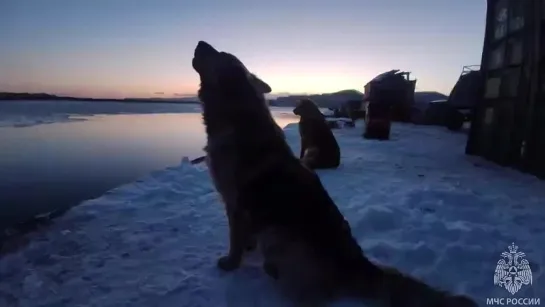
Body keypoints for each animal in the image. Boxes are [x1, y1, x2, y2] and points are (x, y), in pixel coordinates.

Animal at [191, 39, 476, 306]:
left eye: (218, 54)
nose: (200, 42)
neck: (237, 117)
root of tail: (356, 264)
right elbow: (245, 236)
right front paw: (246, 249)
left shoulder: (234, 202)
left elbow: (235, 240)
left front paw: (230, 263)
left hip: (279, 237)